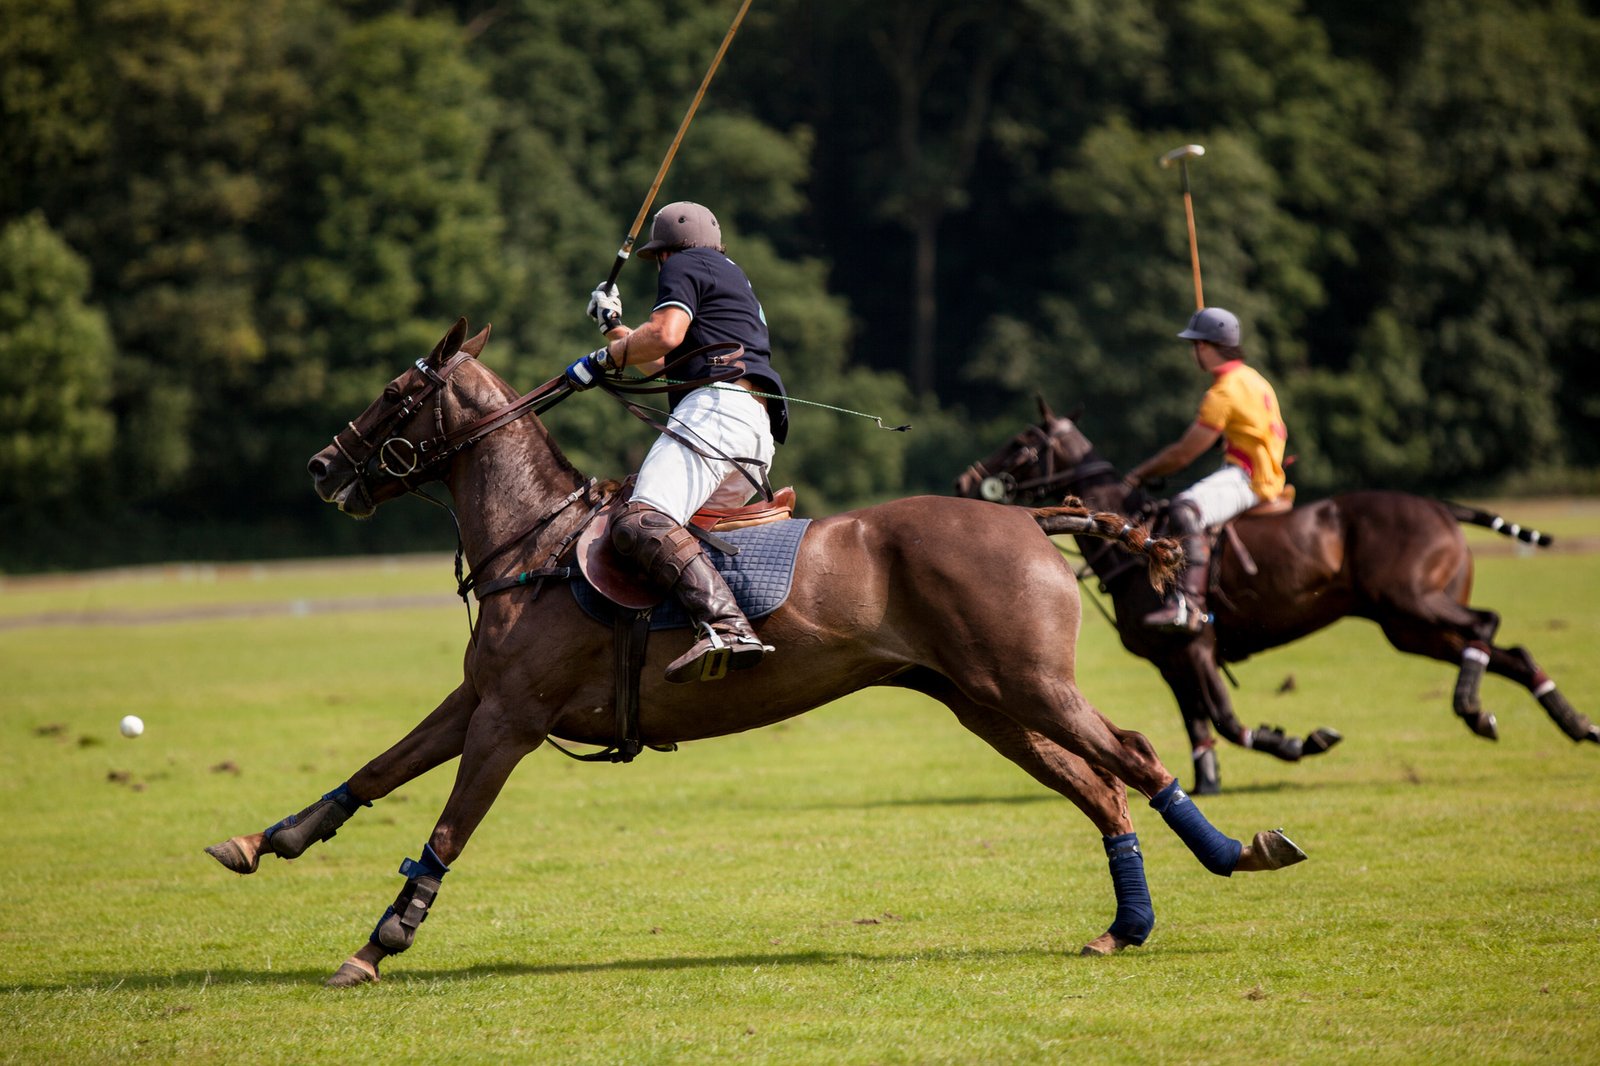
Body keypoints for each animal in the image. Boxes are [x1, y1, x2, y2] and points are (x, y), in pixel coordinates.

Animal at [203, 320, 1312, 985]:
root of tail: (1034, 518)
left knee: (1131, 751)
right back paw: (1128, 922)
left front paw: (378, 942)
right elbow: (376, 768)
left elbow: (445, 827)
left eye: (398, 394)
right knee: (1098, 785)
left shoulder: (512, 719)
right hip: (984, 700)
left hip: (1027, 682)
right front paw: (265, 839)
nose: (319, 466)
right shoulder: (480, 696)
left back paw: (1234, 852)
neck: (533, 541)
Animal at [953, 393, 1593, 793]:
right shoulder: (1169, 659)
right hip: (1408, 626)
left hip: (1412, 603)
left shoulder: (1196, 646)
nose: (965, 479)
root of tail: (1441, 506)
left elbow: (1227, 720)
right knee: (1513, 652)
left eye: (1023, 442)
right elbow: (1198, 726)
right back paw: (1570, 723)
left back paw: (1474, 707)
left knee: (1486, 624)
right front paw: (1205, 784)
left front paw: (1299, 742)